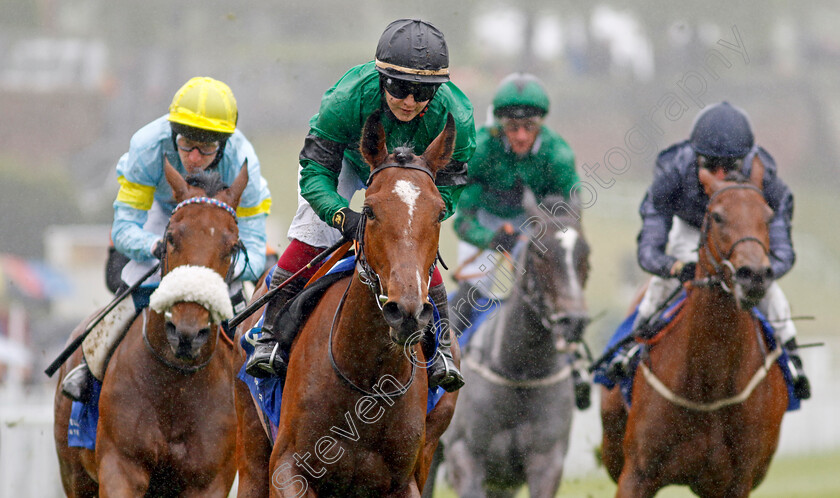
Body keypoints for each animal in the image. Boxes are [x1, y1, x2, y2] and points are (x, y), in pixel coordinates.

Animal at [53, 160, 246, 498]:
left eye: (232, 246)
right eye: (171, 237)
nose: (186, 332)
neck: (176, 385)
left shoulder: (209, 481)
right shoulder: (121, 466)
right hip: (74, 474)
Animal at [233, 110, 462, 498]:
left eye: (440, 211)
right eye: (369, 211)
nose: (407, 313)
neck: (366, 378)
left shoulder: (404, 483)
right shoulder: (287, 468)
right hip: (251, 445)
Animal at [434, 195, 592, 498]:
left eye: (586, 257)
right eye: (540, 253)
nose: (574, 322)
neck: (520, 371)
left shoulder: (547, 463)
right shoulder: (464, 457)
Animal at [600, 158, 792, 496]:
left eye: (768, 216)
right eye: (717, 216)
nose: (754, 275)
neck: (708, 383)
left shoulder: (735, 483)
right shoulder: (636, 474)